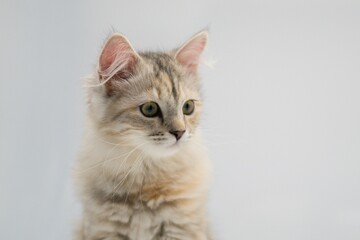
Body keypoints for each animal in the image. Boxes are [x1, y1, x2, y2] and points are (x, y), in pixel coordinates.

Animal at [74, 30, 212, 240]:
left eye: (188, 107)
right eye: (149, 109)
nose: (180, 132)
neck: (147, 172)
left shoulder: (182, 227)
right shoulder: (103, 228)